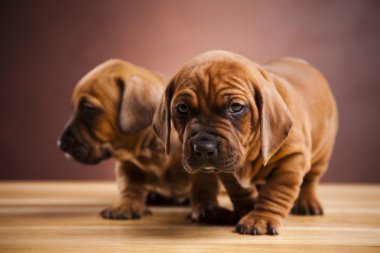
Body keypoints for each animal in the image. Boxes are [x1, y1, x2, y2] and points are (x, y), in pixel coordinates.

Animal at [57, 59, 190, 219]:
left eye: (88, 109)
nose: (60, 145)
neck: (150, 151)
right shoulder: (127, 167)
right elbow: (129, 187)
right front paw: (126, 204)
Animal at [154, 50, 338, 234]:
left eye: (236, 107)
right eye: (182, 108)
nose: (203, 148)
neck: (251, 151)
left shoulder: (292, 159)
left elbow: (276, 191)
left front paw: (262, 218)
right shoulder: (228, 165)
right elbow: (239, 191)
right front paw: (247, 209)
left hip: (322, 153)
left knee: (310, 180)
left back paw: (307, 202)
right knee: (204, 184)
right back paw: (206, 210)